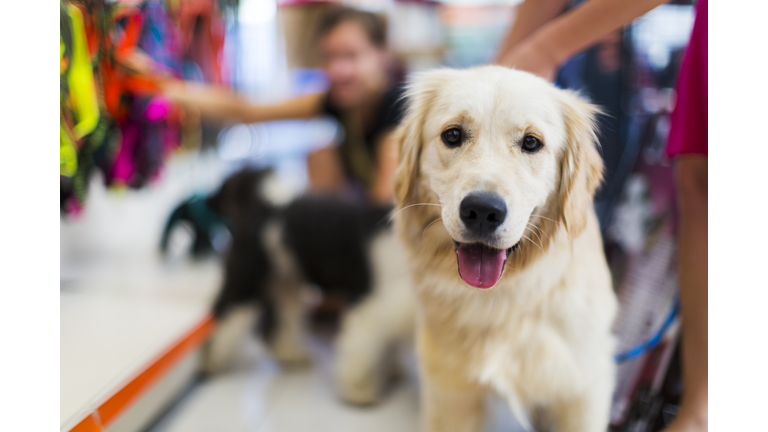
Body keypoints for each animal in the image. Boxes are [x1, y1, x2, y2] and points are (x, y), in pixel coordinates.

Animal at [198, 167, 414, 404]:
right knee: (225, 316)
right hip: (247, 280)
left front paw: (391, 369)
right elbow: (361, 350)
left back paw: (290, 354)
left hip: (286, 283)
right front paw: (359, 389)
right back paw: (211, 361)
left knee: (277, 326)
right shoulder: (372, 304)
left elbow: (388, 343)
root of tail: (268, 207)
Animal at [392, 65, 620, 432]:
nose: (483, 211)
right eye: (452, 135)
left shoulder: (583, 386)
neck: (501, 300)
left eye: (531, 142)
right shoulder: (449, 393)